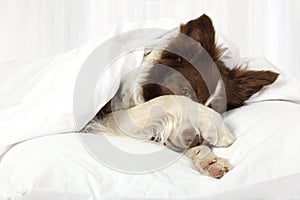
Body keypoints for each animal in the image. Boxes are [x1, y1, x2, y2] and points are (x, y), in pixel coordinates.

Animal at [82, 14, 278, 179]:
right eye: (185, 91)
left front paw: (209, 159)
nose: (193, 139)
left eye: (216, 108)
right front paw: (219, 129)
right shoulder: (105, 119)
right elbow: (167, 101)